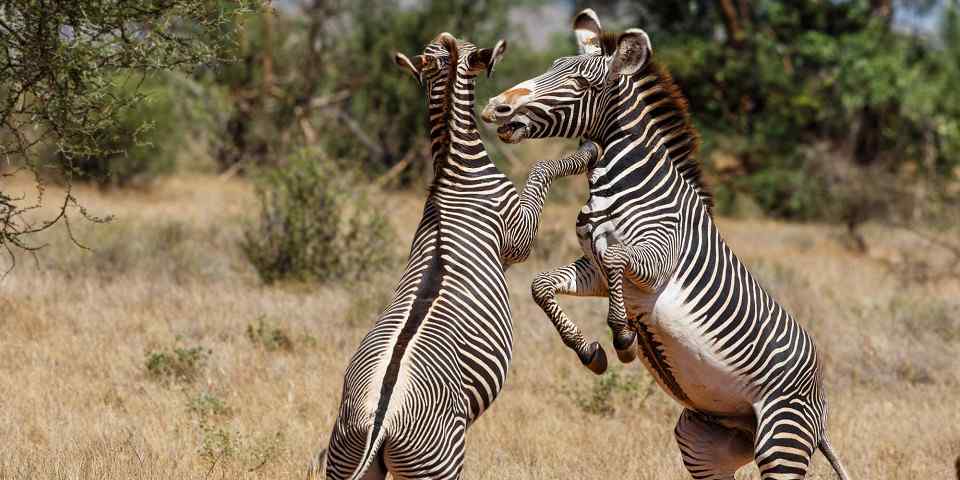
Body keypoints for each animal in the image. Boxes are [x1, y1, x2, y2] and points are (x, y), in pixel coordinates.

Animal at [311, 33, 598, 480]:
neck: (454, 172)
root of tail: (380, 421)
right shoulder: (518, 234)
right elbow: (540, 171)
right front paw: (585, 150)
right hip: (439, 464)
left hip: (347, 452)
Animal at [480, 10, 850, 480]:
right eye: (550, 68)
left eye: (581, 83)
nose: (496, 107)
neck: (623, 184)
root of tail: (820, 410)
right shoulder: (594, 271)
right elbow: (541, 285)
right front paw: (589, 351)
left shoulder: (654, 261)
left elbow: (617, 256)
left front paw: (622, 335)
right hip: (706, 438)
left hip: (781, 437)